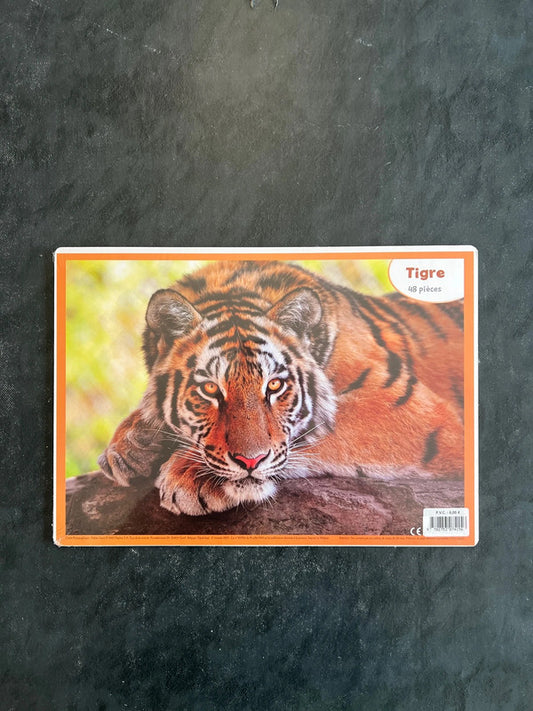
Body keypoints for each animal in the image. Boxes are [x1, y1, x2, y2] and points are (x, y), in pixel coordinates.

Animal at [98, 260, 464, 516]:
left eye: (274, 385)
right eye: (211, 390)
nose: (250, 462)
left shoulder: (410, 408)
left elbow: (315, 430)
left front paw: (190, 474)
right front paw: (131, 444)